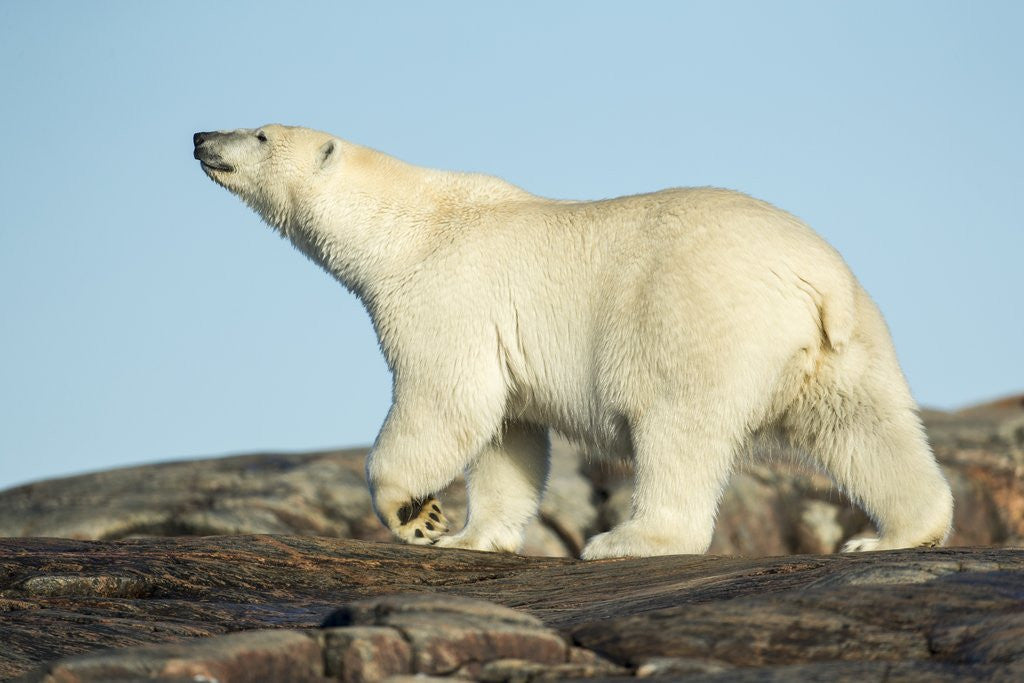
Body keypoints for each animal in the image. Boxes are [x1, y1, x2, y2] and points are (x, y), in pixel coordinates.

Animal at [193, 125, 953, 559]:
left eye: (259, 134)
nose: (201, 135)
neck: (408, 225)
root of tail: (812, 277)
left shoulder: (448, 293)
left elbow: (446, 400)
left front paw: (415, 514)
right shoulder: (500, 334)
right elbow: (508, 434)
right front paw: (474, 535)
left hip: (699, 316)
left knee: (677, 427)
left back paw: (628, 540)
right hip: (845, 343)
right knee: (866, 427)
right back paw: (890, 533)